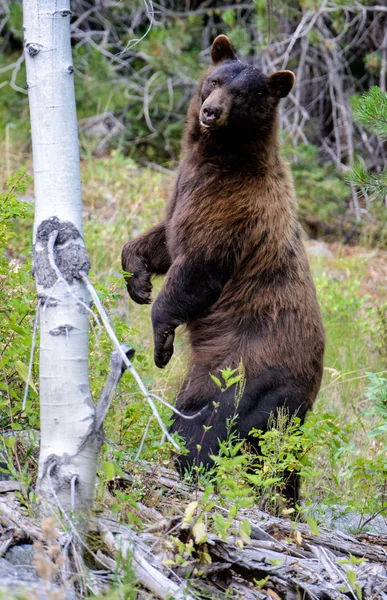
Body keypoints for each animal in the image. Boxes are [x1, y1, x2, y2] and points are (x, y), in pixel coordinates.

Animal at [122, 32, 328, 502]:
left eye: (244, 95)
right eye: (214, 80)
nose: (211, 111)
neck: (218, 161)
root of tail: (306, 395)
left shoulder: (232, 214)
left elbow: (196, 270)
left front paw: (161, 339)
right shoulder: (186, 191)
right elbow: (165, 237)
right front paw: (137, 278)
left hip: (242, 371)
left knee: (204, 426)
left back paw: (189, 468)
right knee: (276, 460)